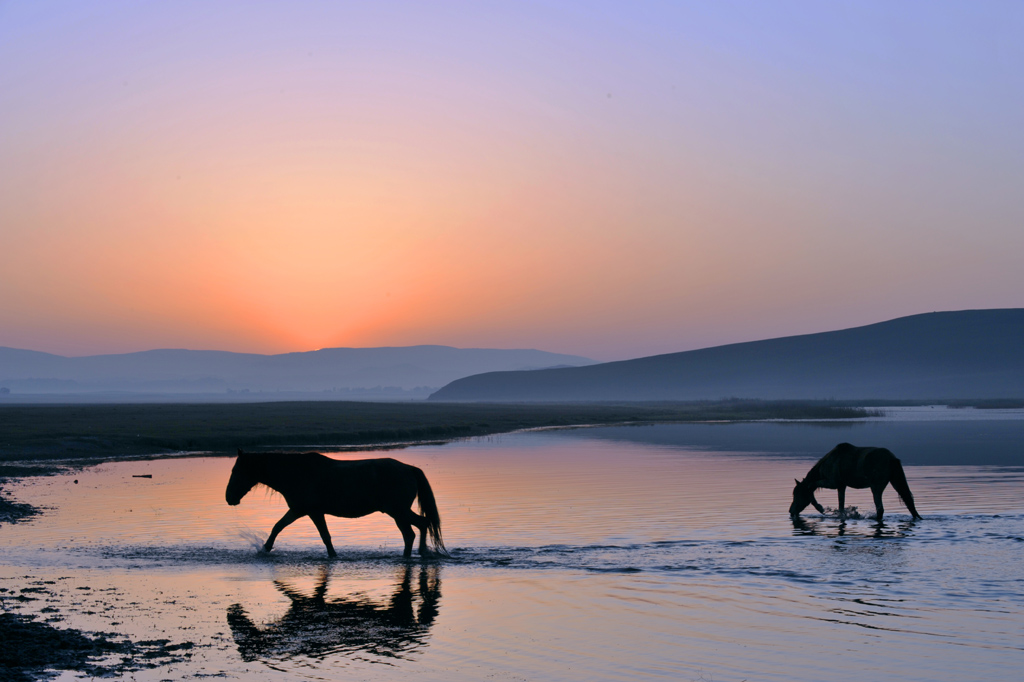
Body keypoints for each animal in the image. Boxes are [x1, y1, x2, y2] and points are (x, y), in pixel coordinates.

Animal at [224, 448, 448, 557]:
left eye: (236, 471)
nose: (229, 497)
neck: (296, 473)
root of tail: (409, 468)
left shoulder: (310, 511)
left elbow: (324, 536)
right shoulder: (299, 510)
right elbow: (278, 527)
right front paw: (265, 549)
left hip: (397, 511)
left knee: (412, 531)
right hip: (399, 511)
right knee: (421, 525)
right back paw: (420, 553)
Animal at [786, 440, 925, 520]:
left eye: (798, 494)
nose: (791, 511)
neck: (830, 462)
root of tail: (892, 458)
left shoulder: (832, 483)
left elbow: (811, 485)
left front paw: (820, 507)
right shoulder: (841, 486)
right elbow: (841, 506)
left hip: (876, 487)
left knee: (880, 509)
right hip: (895, 482)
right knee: (908, 502)